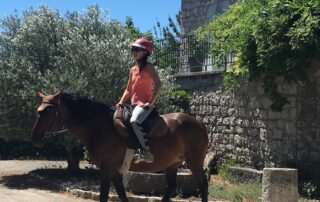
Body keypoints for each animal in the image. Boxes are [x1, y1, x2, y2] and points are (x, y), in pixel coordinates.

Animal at [31, 90, 209, 201]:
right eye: (38, 110)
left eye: (47, 111)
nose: (35, 138)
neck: (99, 127)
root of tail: (198, 123)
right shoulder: (114, 170)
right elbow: (122, 194)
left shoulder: (106, 169)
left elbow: (104, 196)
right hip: (173, 163)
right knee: (170, 188)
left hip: (194, 161)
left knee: (203, 185)